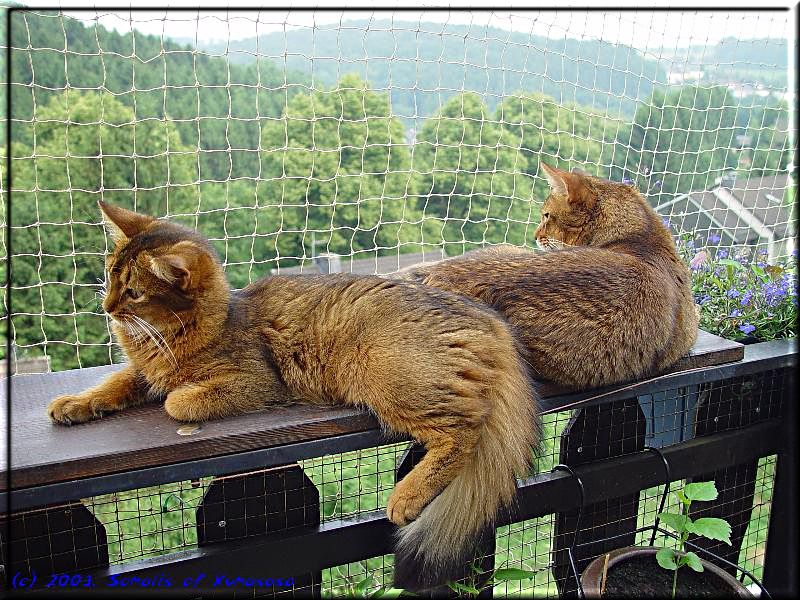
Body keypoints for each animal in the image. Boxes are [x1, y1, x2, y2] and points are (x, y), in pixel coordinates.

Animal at [47, 202, 540, 592]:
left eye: (133, 292)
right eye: (110, 278)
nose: (107, 307)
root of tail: (487, 318)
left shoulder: (255, 381)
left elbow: (176, 401)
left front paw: (179, 396)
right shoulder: (143, 374)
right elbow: (113, 385)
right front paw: (72, 404)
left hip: (384, 374)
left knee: (463, 429)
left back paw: (406, 497)